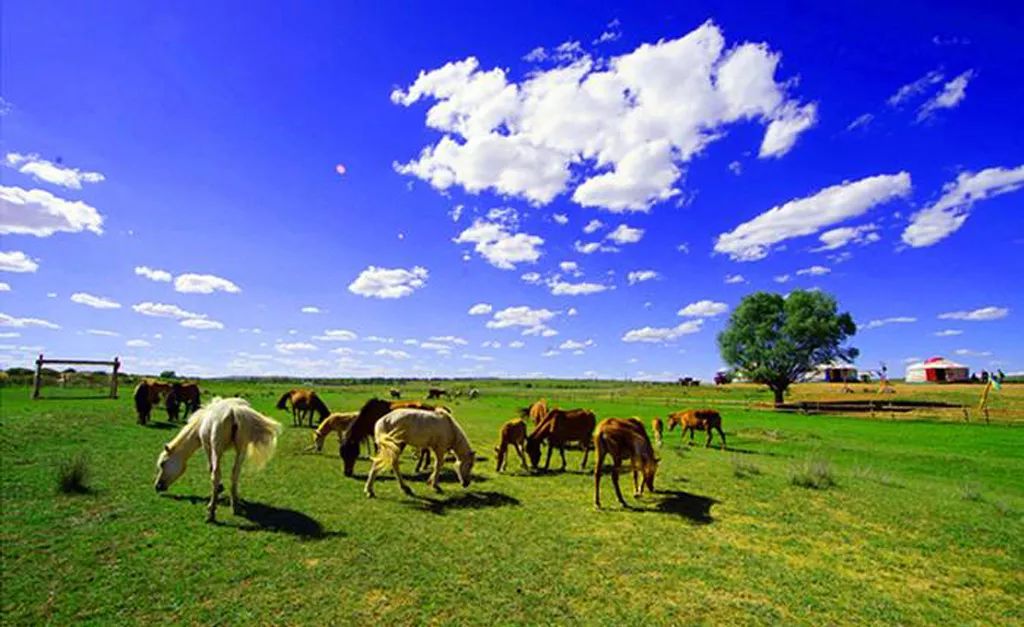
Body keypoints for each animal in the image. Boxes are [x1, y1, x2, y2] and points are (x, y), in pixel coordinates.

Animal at [152, 397, 280, 524]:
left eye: (162, 464)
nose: (157, 486)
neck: (200, 422)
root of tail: (233, 411)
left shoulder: (207, 447)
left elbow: (210, 468)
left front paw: (219, 488)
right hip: (241, 450)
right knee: (235, 474)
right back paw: (235, 506)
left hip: (217, 449)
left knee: (216, 475)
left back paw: (211, 512)